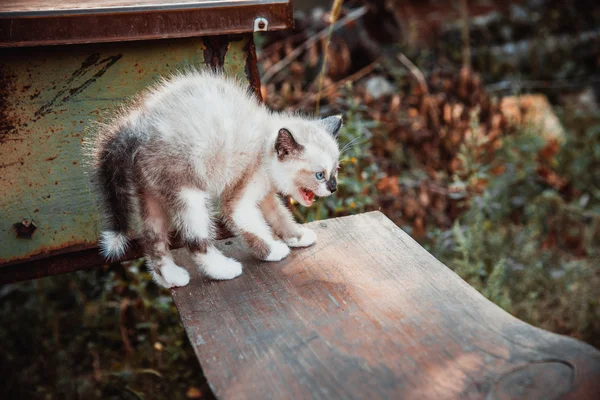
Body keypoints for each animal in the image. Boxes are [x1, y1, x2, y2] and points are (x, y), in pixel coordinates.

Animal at [89, 69, 342, 288]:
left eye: (336, 170)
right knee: (194, 241)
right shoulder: (238, 199)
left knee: (153, 239)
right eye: (320, 175)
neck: (264, 148)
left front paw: (297, 236)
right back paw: (223, 269)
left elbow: (279, 215)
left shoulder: (265, 193)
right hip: (189, 193)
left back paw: (170, 277)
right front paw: (273, 251)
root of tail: (135, 127)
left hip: (151, 193)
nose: (333, 188)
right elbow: (251, 225)